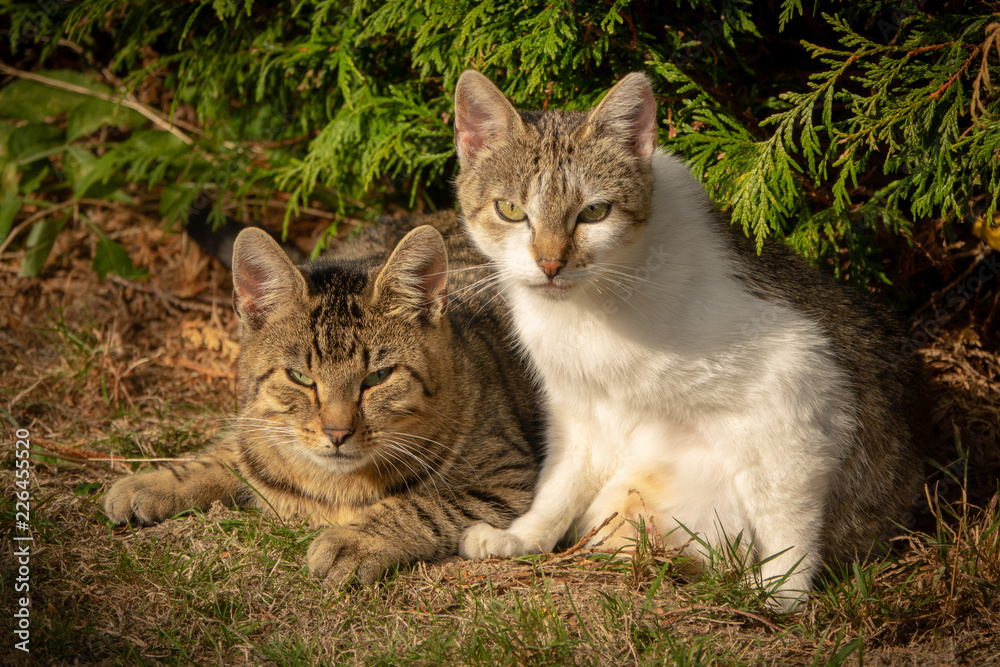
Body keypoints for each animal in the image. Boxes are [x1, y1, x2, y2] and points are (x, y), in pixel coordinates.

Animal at [104, 214, 544, 584]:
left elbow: (423, 504)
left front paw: (355, 540)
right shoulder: (255, 431)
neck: (332, 485)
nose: (337, 432)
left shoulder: (510, 480)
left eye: (377, 377)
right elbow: (224, 456)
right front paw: (155, 481)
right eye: (300, 377)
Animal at [452, 69, 920, 612]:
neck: (590, 308)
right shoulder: (576, 409)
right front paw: (524, 536)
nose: (550, 264)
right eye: (510, 210)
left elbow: (790, 523)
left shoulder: (798, 380)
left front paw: (778, 594)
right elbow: (558, 483)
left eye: (594, 212)